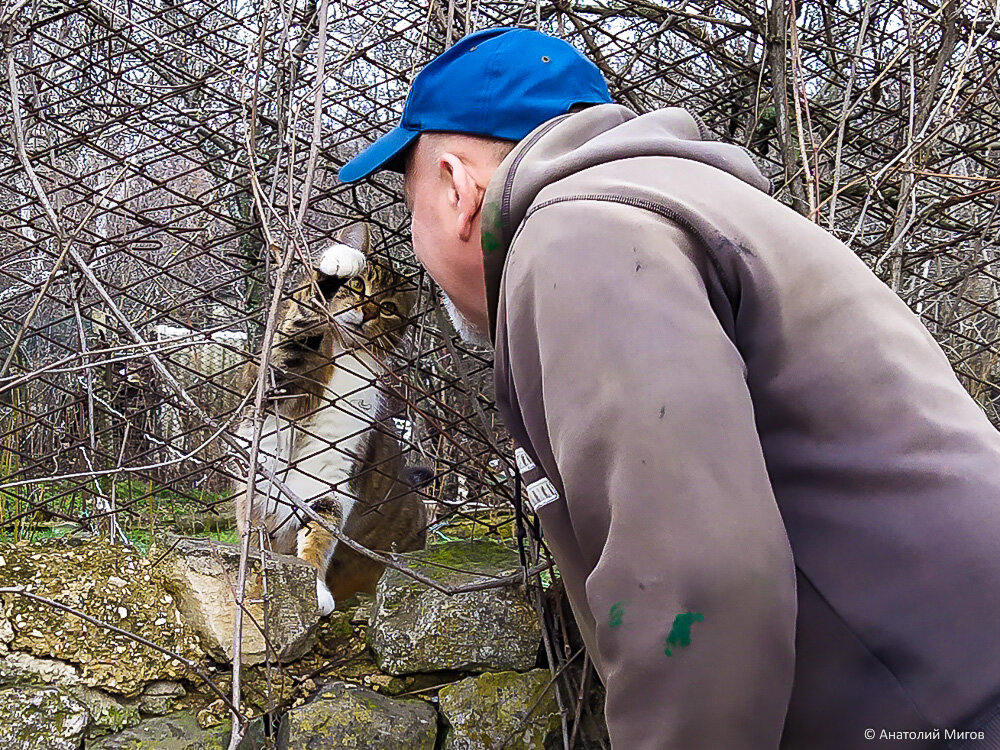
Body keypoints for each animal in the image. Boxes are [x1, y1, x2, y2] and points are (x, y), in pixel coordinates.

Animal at [239, 223, 434, 616]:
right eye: (358, 285)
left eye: (388, 308)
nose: (369, 311)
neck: (344, 353)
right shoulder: (275, 379)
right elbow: (300, 320)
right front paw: (341, 260)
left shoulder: (332, 474)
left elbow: (320, 531)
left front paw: (314, 589)